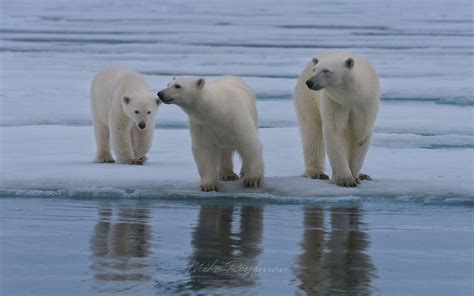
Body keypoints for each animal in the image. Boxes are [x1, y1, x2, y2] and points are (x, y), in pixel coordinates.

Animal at [294, 51, 380, 186]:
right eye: (314, 69)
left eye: (326, 70)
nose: (309, 82)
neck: (350, 95)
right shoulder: (334, 103)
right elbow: (335, 132)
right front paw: (345, 180)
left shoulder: (364, 102)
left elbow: (360, 133)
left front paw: (355, 176)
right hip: (307, 99)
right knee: (312, 132)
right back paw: (316, 172)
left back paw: (363, 175)